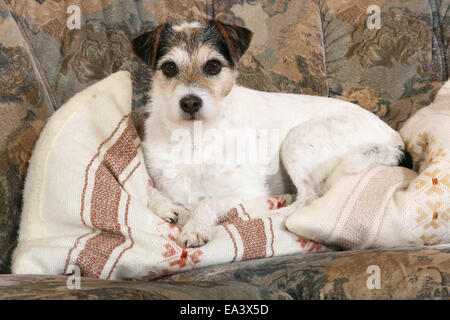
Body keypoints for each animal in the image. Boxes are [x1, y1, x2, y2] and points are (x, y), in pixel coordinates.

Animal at [132, 20, 414, 249]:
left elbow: (207, 202)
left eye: (213, 66)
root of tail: (393, 138)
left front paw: (195, 227)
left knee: (307, 199)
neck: (193, 137)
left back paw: (267, 214)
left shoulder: (245, 190)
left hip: (296, 140)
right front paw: (168, 208)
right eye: (169, 68)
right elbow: (149, 192)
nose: (190, 102)